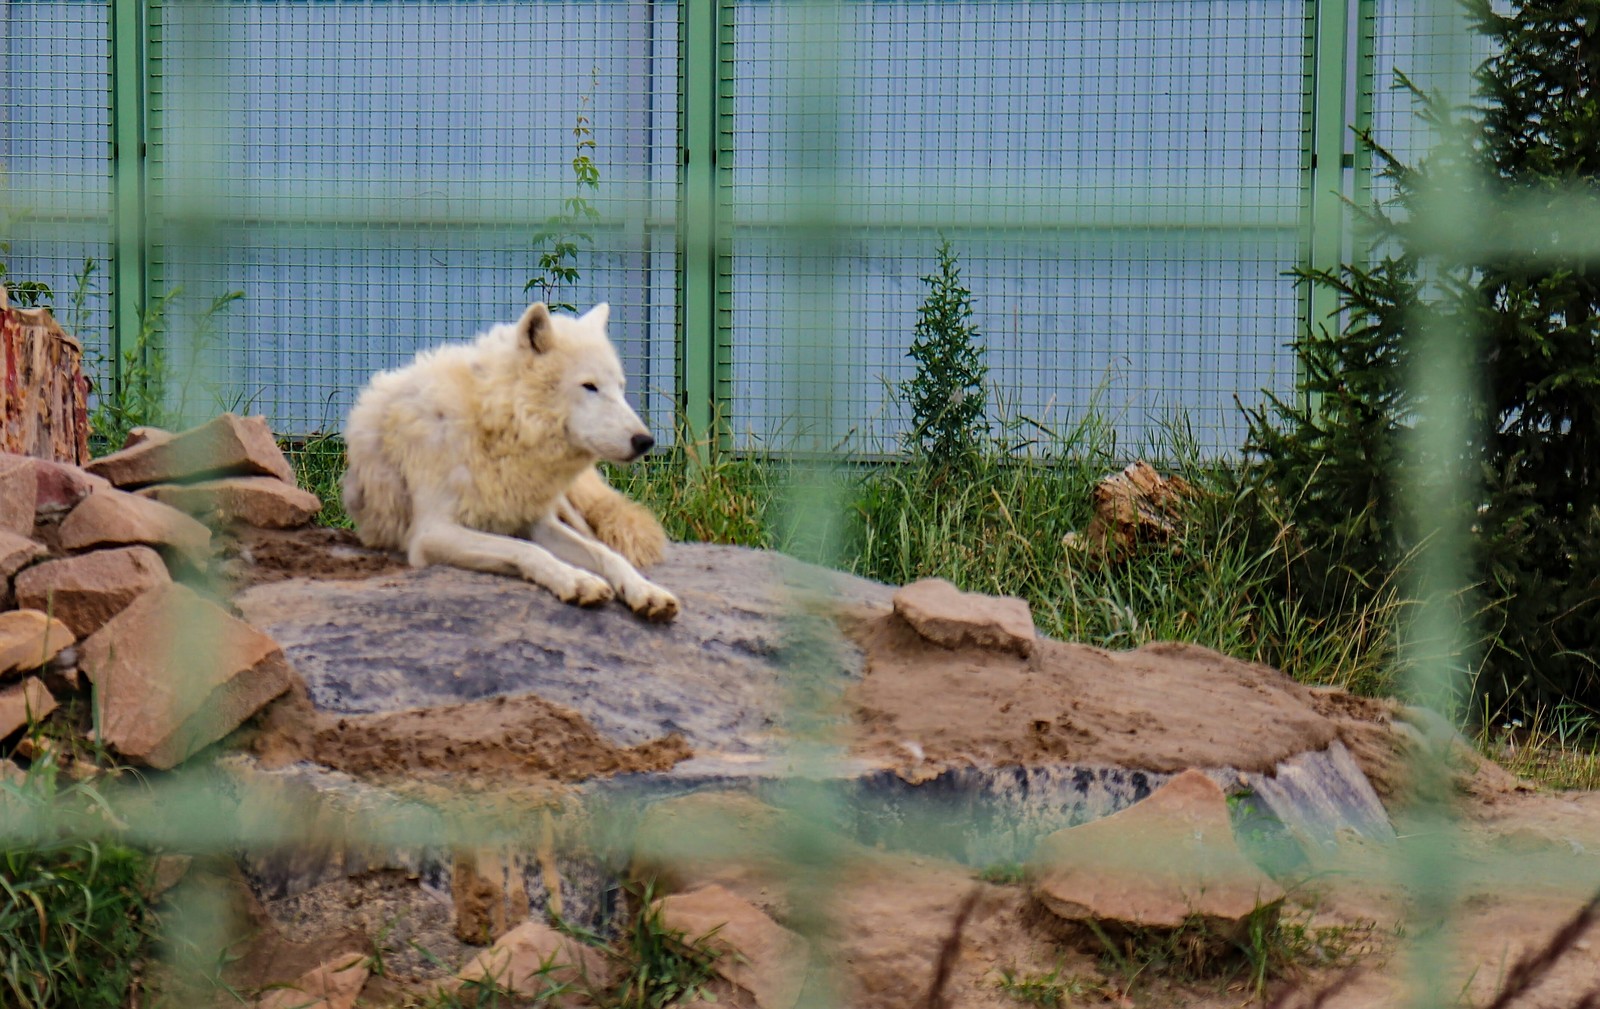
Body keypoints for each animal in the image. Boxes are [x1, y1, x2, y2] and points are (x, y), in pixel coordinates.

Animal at [340, 297, 678, 623]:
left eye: (620, 388)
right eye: (590, 386)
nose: (645, 441)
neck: (496, 427)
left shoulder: (537, 523)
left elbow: (605, 555)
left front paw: (645, 591)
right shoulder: (431, 533)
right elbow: (528, 550)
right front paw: (577, 580)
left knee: (599, 536)